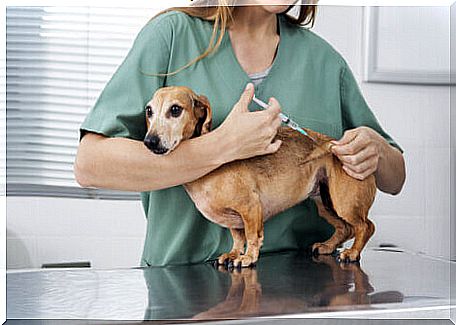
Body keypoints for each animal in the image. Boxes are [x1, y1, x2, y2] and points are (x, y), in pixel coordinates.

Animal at [144, 85, 376, 266]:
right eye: (148, 111)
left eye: (175, 109)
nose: (149, 141)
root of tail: (334, 145)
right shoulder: (233, 220)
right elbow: (238, 238)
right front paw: (233, 254)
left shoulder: (251, 207)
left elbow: (252, 236)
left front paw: (247, 258)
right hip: (325, 203)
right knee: (345, 228)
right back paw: (327, 246)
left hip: (344, 203)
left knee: (365, 226)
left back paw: (352, 252)